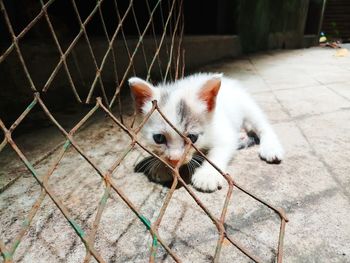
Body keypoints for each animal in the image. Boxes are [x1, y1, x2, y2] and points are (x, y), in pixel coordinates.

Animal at [129, 73, 284, 193]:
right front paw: (162, 167)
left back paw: (270, 147)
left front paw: (207, 175)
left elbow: (219, 151)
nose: (175, 160)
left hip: (247, 104)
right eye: (159, 138)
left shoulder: (223, 130)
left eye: (192, 138)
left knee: (263, 125)